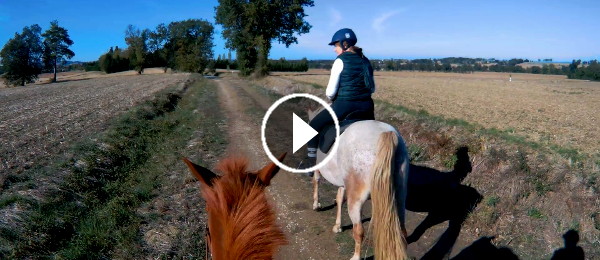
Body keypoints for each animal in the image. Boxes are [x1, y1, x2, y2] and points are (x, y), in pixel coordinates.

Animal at [308, 108, 410, 260]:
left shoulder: (319, 170)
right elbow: (339, 199)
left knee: (359, 231)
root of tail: (386, 133)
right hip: (400, 196)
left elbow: (317, 181)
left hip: (356, 200)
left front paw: (316, 205)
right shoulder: (344, 185)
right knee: (403, 231)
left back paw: (356, 256)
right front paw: (337, 226)